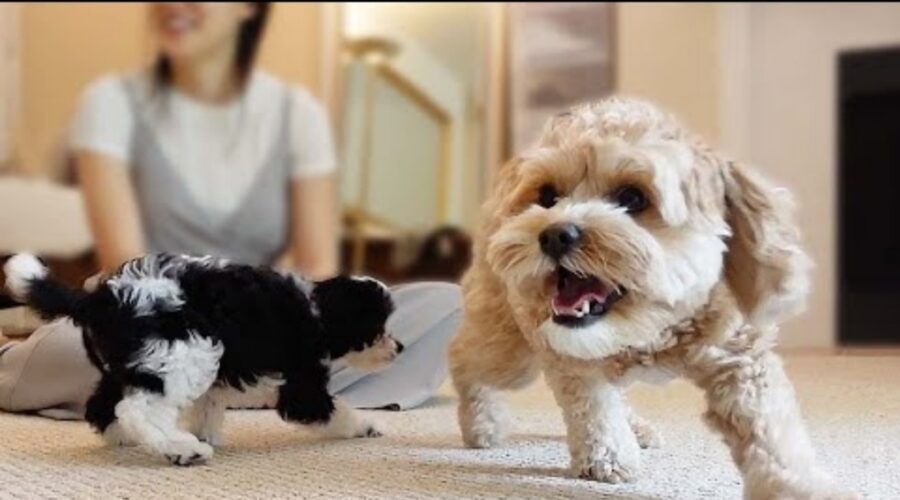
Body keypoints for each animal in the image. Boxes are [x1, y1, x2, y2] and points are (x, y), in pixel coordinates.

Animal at [0, 254, 400, 464]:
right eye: (378, 325)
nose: (399, 348)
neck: (317, 310)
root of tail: (101, 299)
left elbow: (209, 404)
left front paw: (207, 433)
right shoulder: (303, 382)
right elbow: (330, 407)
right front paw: (364, 426)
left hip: (135, 366)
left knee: (103, 406)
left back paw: (126, 438)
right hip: (181, 354)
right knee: (138, 410)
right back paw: (182, 449)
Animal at [454, 96, 856, 496]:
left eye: (632, 197)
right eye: (548, 196)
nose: (555, 235)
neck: (655, 328)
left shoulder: (741, 363)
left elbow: (771, 437)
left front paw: (799, 486)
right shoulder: (568, 356)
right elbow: (593, 407)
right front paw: (607, 457)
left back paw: (635, 426)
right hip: (506, 347)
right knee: (462, 358)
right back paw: (481, 423)